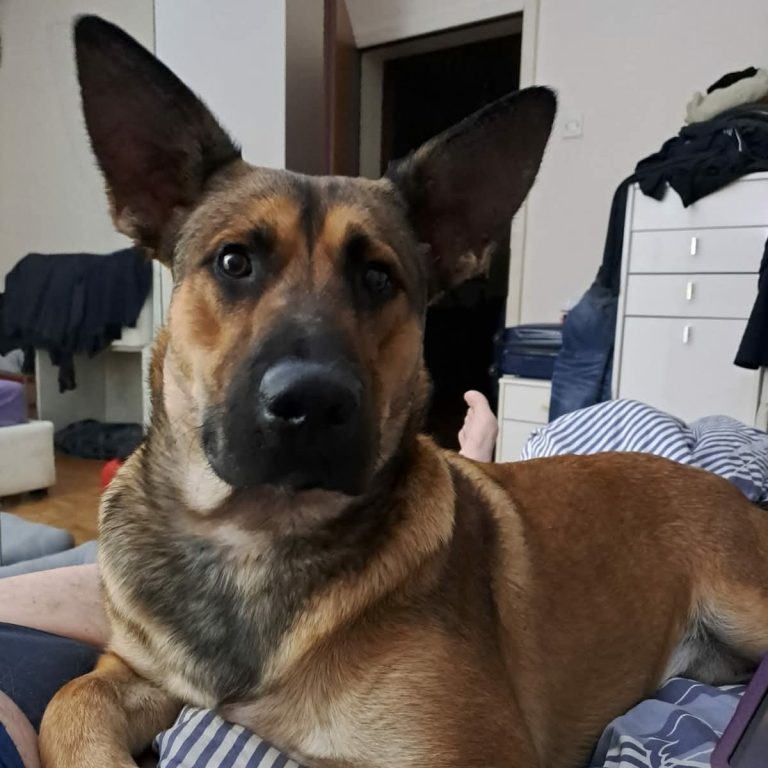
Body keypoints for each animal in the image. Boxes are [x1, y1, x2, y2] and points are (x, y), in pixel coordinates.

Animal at [39, 15, 768, 768]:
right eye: (235, 262)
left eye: (377, 278)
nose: (311, 404)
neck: (256, 537)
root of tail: (732, 495)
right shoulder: (135, 674)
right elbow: (69, 701)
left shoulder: (478, 749)